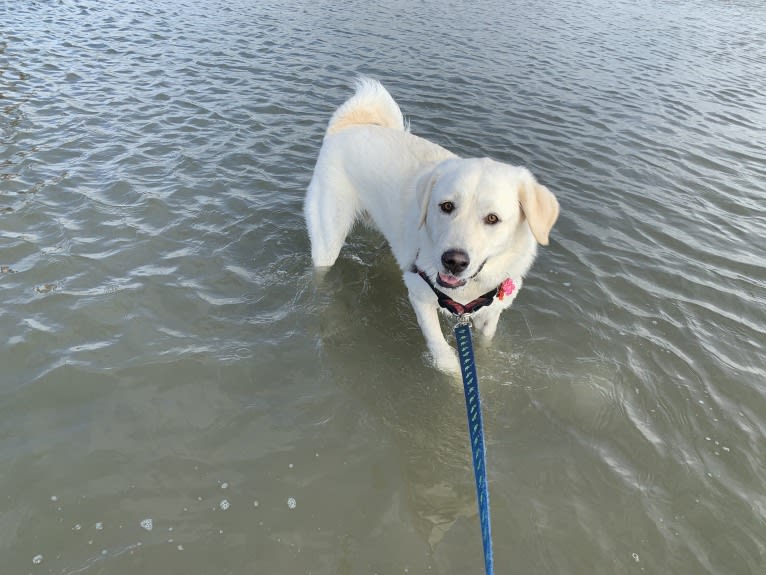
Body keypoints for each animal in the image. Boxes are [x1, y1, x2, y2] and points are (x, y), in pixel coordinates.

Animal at [304, 77, 560, 374]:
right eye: (446, 206)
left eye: (492, 219)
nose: (453, 261)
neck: (469, 291)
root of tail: (345, 128)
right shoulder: (420, 294)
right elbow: (443, 352)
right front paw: (456, 374)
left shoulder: (492, 308)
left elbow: (486, 340)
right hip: (328, 238)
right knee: (321, 268)